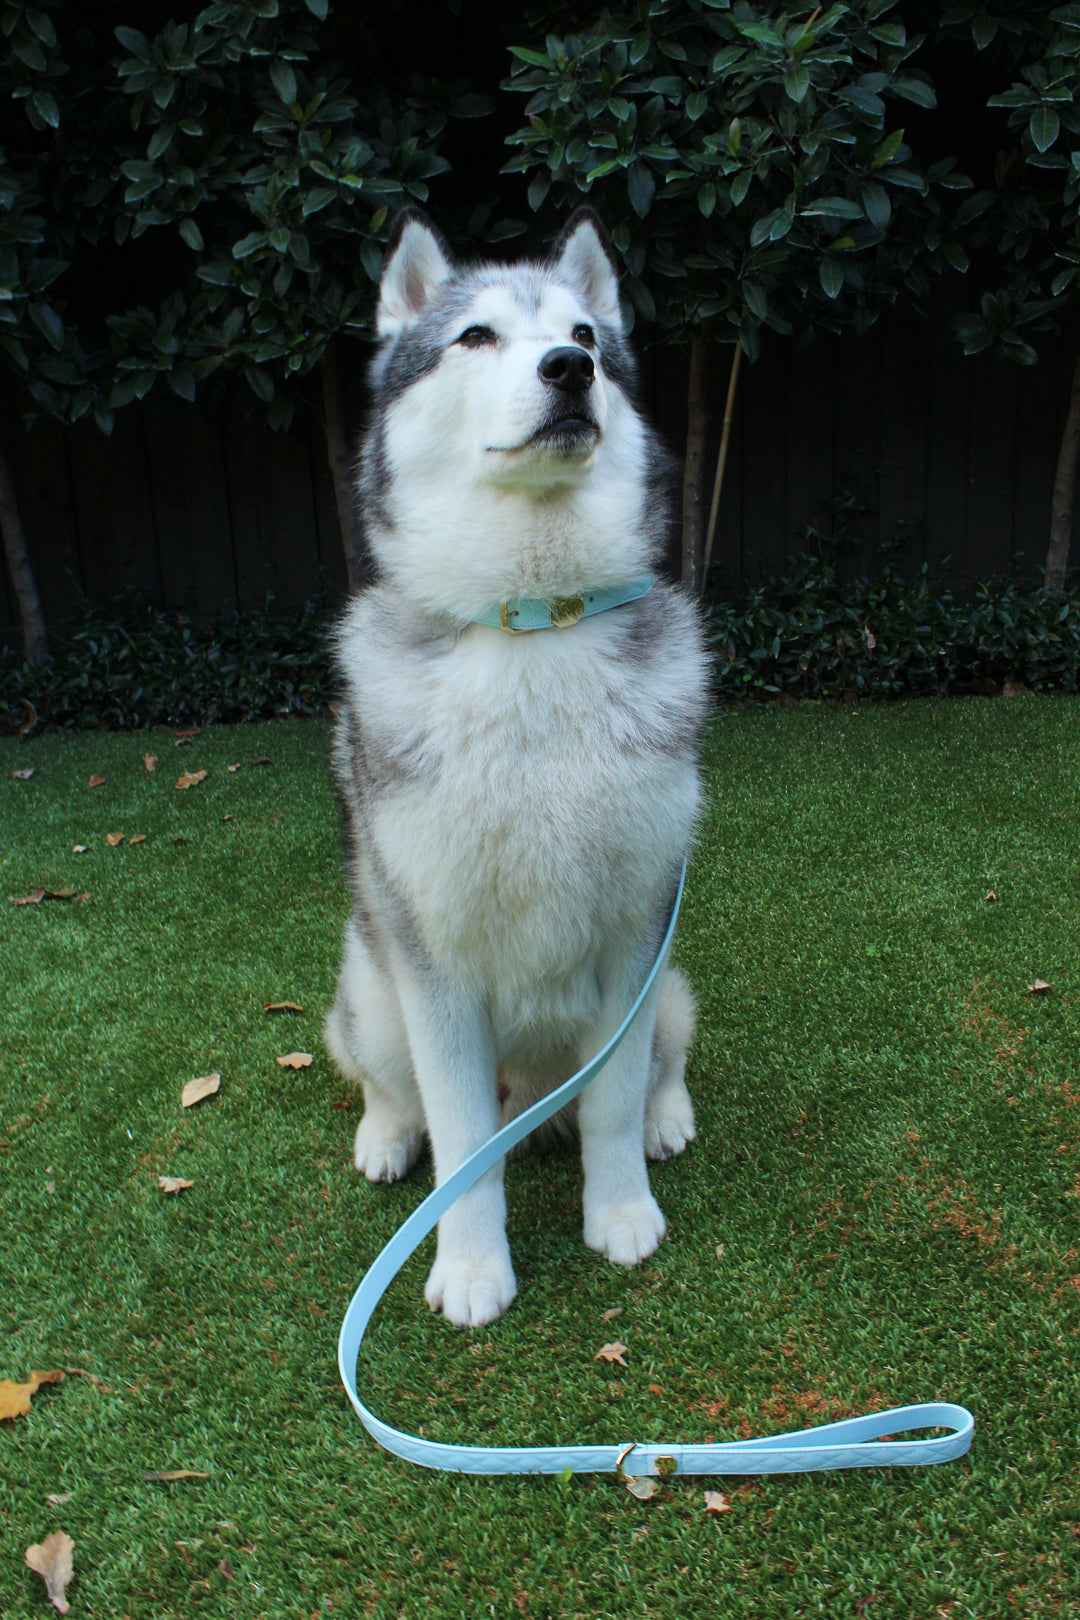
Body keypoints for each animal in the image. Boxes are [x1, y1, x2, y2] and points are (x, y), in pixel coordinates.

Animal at [320, 205, 709, 1328]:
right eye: (476, 336)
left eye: (587, 336)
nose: (569, 369)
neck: (536, 622)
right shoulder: (434, 957)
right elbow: (461, 1142)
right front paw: (470, 1268)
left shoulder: (636, 933)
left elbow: (614, 1099)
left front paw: (621, 1212)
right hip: (370, 985)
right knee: (384, 1079)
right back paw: (384, 1135)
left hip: (670, 981)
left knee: (668, 1053)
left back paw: (669, 1115)